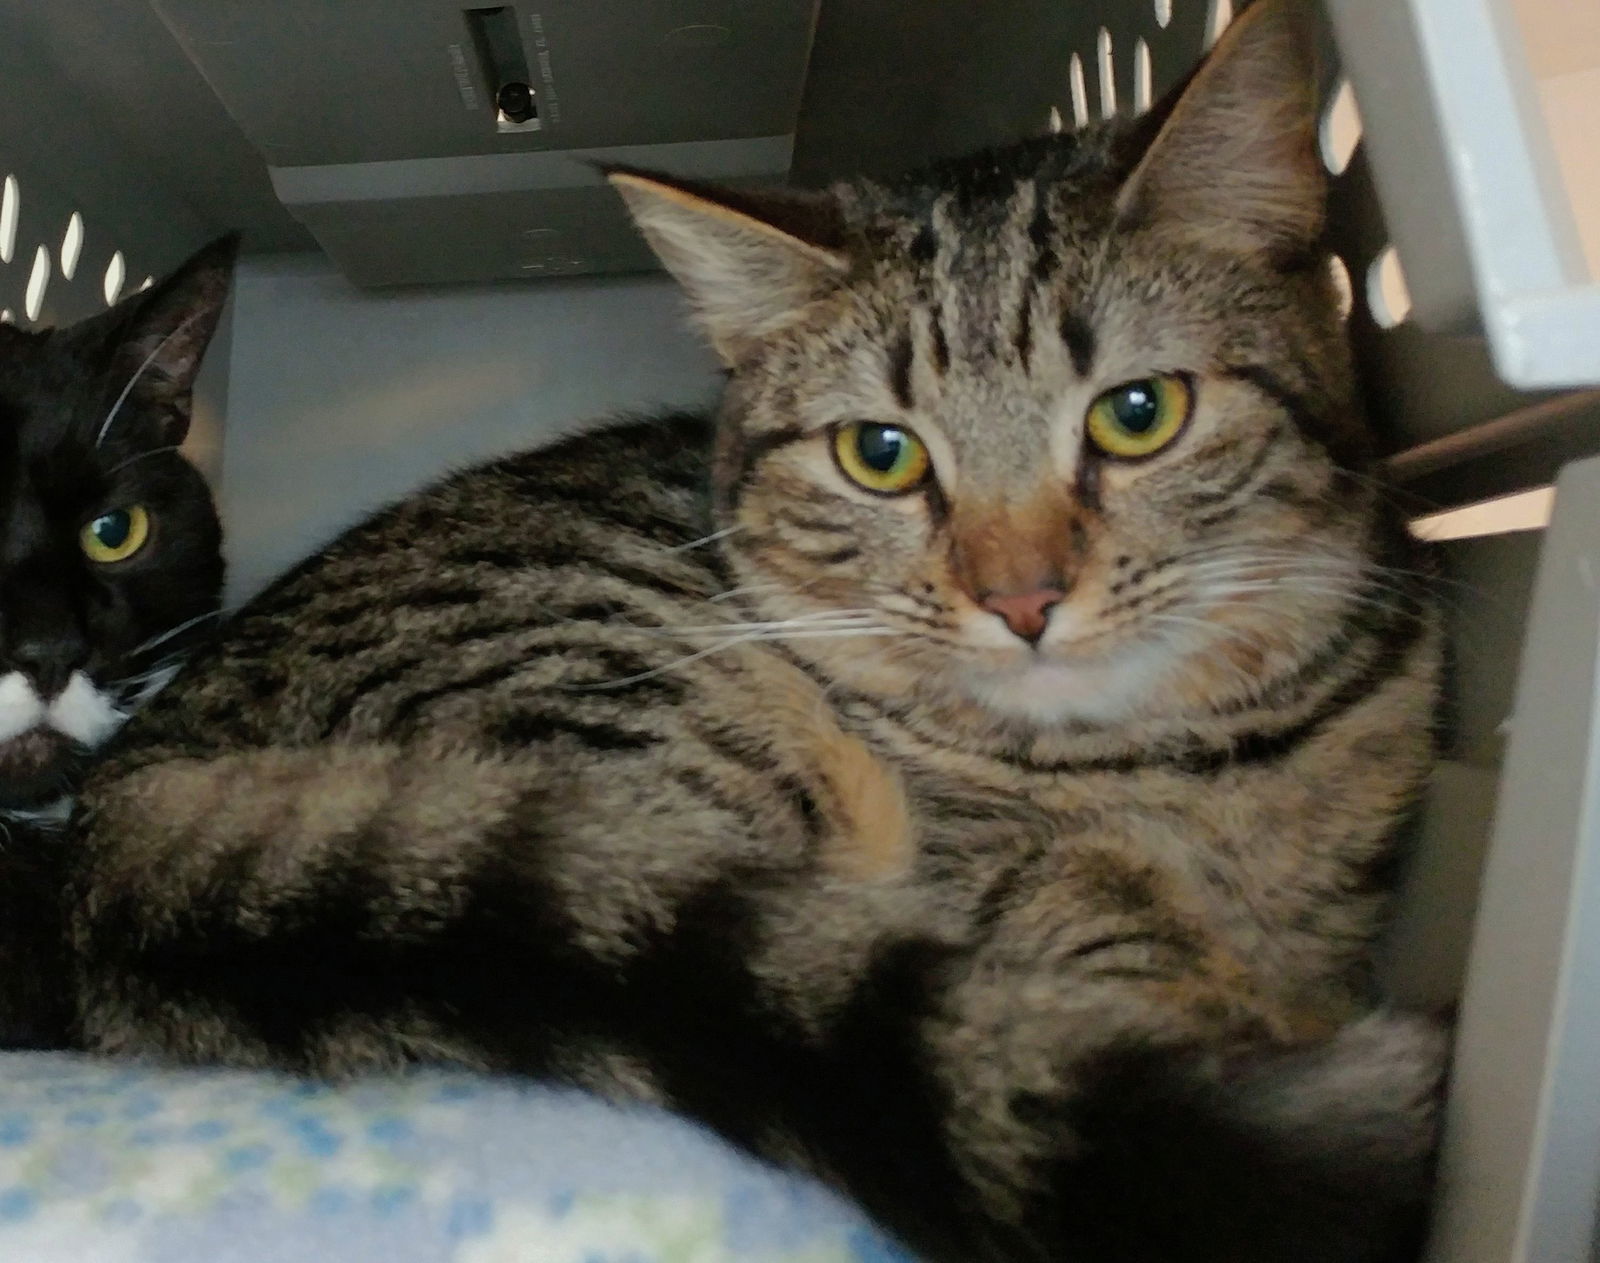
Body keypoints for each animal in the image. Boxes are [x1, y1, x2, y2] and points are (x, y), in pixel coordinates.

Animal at [62, 4, 1446, 1254]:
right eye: (880, 453)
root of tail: (114, 821)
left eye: (1139, 413)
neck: (1170, 759)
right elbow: (1086, 920)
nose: (1021, 601)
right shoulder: (977, 862)